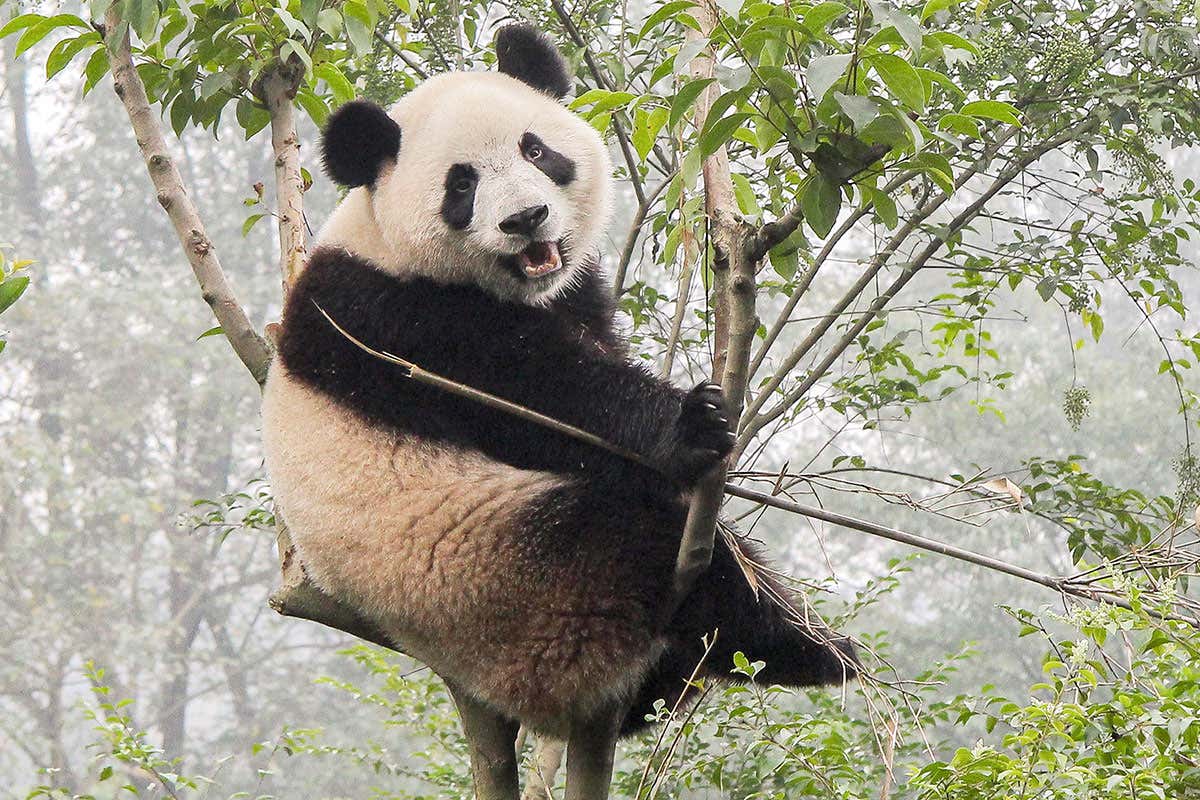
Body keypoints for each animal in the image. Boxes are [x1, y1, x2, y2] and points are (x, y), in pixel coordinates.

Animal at [262, 24, 856, 746]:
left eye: (536, 150)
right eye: (462, 186)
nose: (526, 218)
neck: (385, 242)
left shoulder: (572, 293)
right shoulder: (388, 323)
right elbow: (544, 397)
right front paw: (688, 425)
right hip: (515, 582)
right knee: (649, 539)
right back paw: (802, 646)